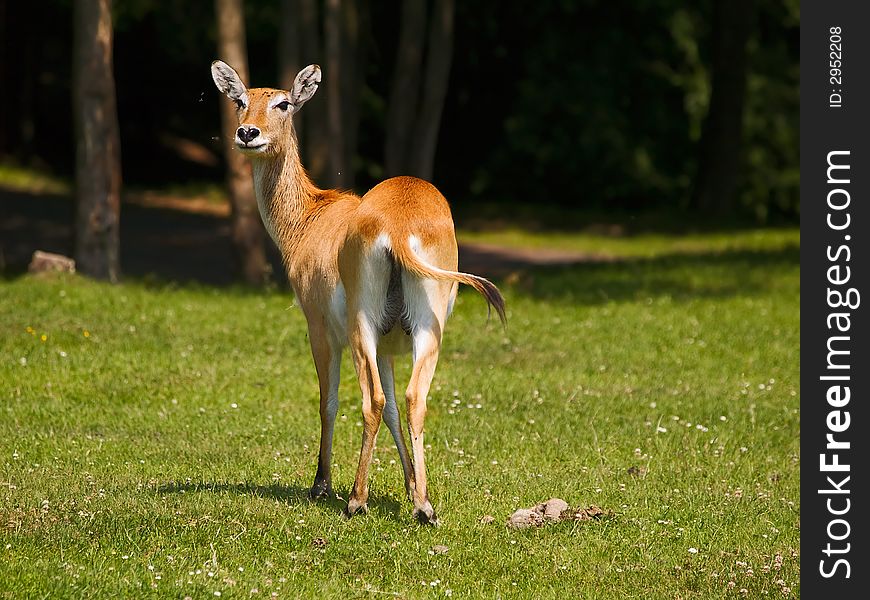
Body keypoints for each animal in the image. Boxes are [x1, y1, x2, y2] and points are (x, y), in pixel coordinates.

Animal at [212, 58, 508, 524]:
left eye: (283, 103)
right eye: (240, 100)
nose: (247, 133)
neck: (309, 221)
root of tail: (399, 228)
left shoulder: (318, 326)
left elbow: (328, 400)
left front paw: (320, 485)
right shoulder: (389, 344)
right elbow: (394, 408)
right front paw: (411, 487)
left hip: (359, 325)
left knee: (370, 401)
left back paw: (355, 499)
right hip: (427, 328)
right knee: (412, 398)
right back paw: (425, 507)